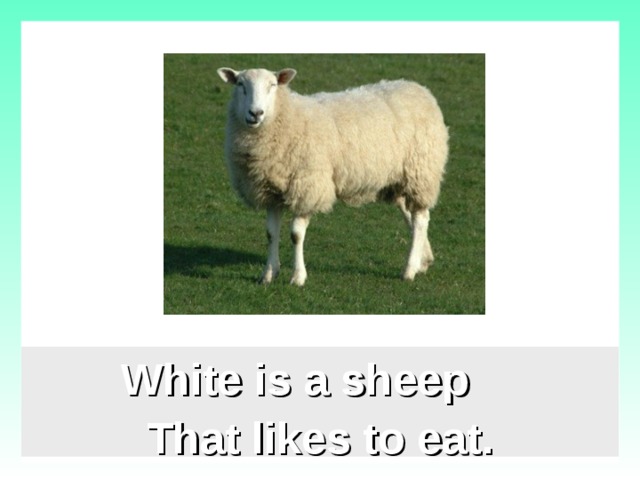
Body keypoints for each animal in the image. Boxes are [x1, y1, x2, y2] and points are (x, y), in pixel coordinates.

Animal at [217, 67, 448, 286]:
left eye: (272, 85)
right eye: (240, 84)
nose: (256, 113)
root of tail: (418, 89)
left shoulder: (308, 188)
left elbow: (296, 235)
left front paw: (298, 277)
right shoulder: (271, 192)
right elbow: (271, 234)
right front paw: (268, 274)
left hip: (421, 173)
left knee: (420, 219)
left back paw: (409, 270)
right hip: (398, 180)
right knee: (410, 216)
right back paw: (423, 261)